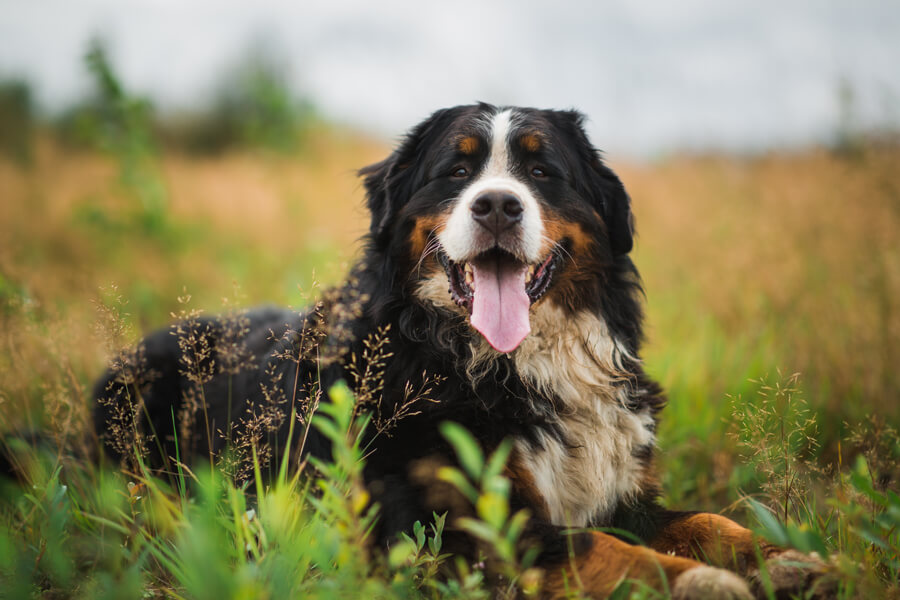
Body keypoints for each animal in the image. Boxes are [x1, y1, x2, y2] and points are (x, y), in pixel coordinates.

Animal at [91, 105, 828, 596]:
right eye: (458, 170)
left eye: (541, 169)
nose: (498, 204)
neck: (504, 364)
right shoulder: (453, 527)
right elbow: (602, 549)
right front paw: (700, 582)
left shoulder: (621, 491)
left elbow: (707, 518)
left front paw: (784, 558)